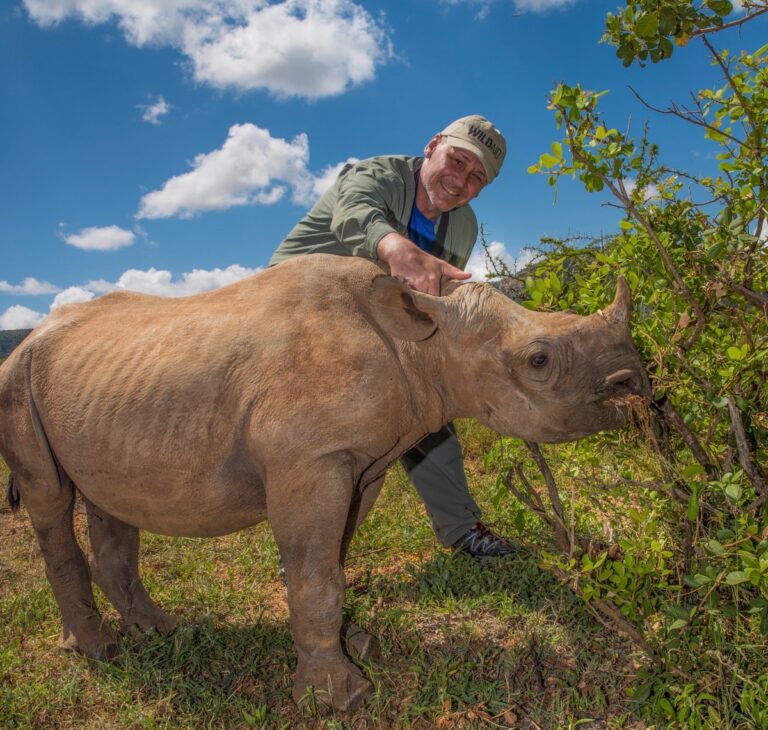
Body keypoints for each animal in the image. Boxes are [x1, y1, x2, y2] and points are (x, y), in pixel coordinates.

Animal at [0, 254, 649, 711]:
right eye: (539, 360)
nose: (636, 383)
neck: (423, 344)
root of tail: (28, 338)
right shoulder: (310, 459)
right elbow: (315, 575)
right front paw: (338, 699)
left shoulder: (364, 461)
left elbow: (335, 559)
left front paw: (359, 647)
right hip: (16, 381)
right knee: (51, 499)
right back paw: (100, 652)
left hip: (103, 389)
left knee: (111, 502)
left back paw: (160, 633)